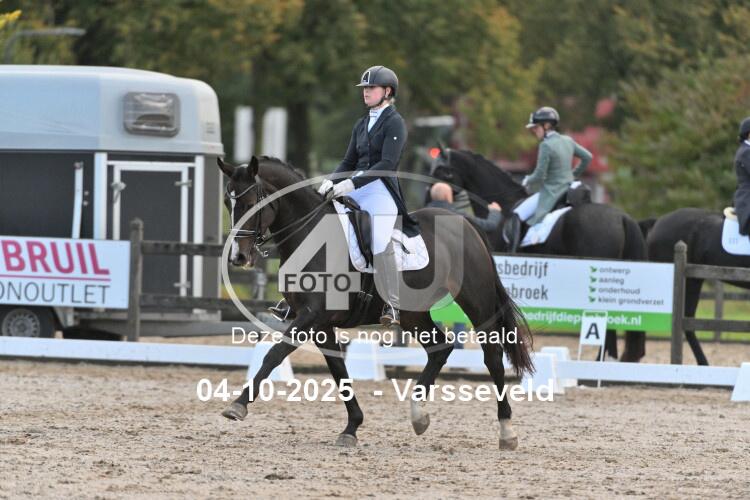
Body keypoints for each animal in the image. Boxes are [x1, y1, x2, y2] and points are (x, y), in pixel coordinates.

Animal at [217, 155, 534, 450]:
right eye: (227, 203)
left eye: (251, 203)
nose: (238, 258)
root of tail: (464, 223)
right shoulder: (320, 323)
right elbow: (339, 372)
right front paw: (351, 428)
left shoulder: (311, 316)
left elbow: (274, 354)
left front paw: (238, 406)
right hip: (412, 314)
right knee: (439, 348)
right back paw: (419, 415)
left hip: (476, 303)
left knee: (492, 358)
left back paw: (507, 431)